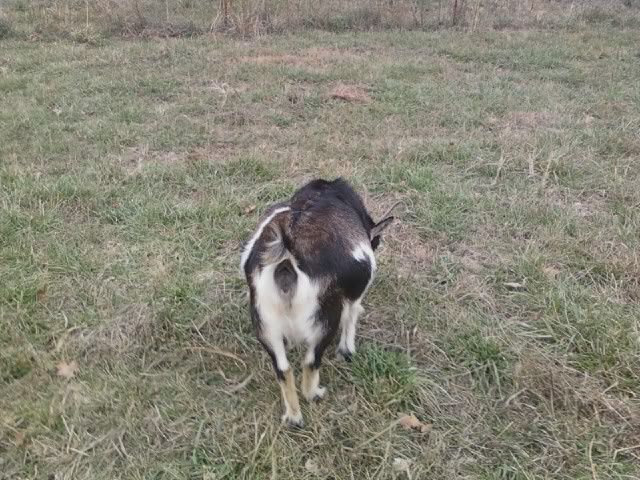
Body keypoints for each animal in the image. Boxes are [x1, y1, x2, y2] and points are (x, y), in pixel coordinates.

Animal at [240, 178, 394, 427]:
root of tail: (288, 255)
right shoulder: (354, 294)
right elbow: (352, 315)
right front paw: (347, 351)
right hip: (324, 323)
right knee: (310, 363)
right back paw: (315, 394)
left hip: (265, 323)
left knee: (283, 369)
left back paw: (293, 418)